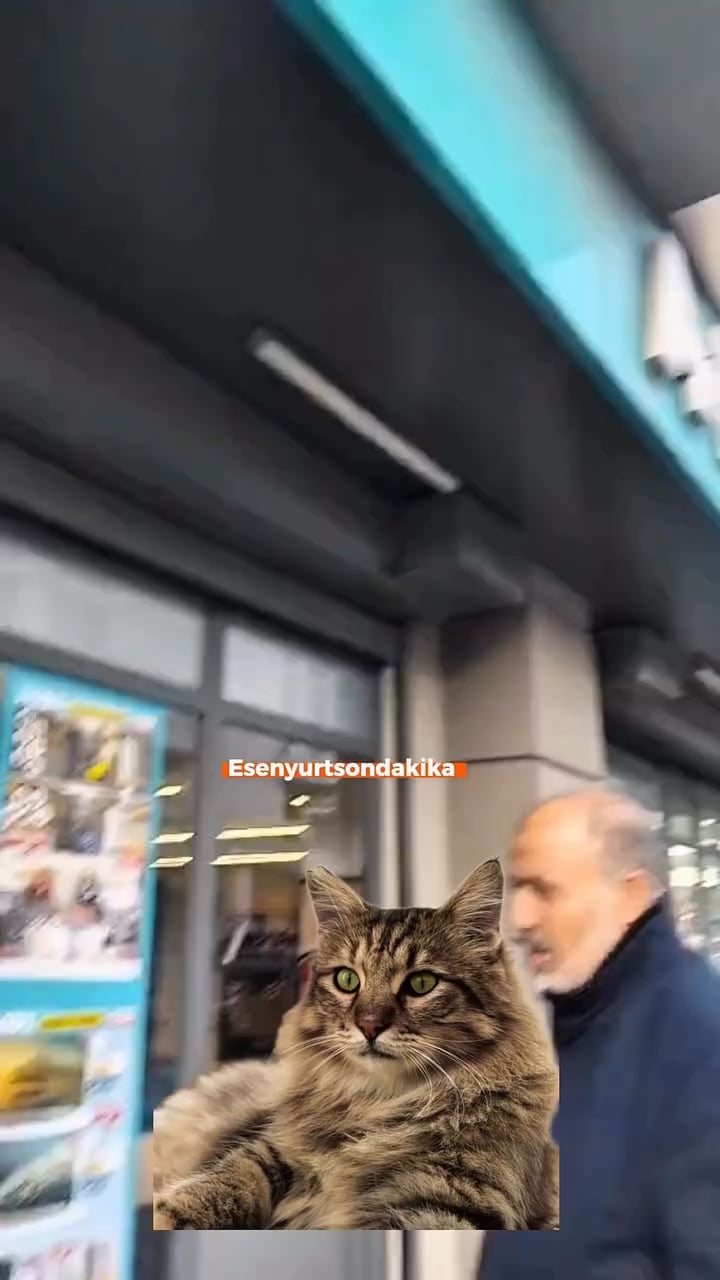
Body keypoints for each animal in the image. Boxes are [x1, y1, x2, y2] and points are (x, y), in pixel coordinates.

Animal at [153, 860, 559, 1231]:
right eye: (347, 980)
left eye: (422, 984)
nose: (369, 1026)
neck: (377, 1104)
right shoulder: (273, 1148)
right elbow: (222, 1183)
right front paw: (168, 1215)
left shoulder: (446, 1200)